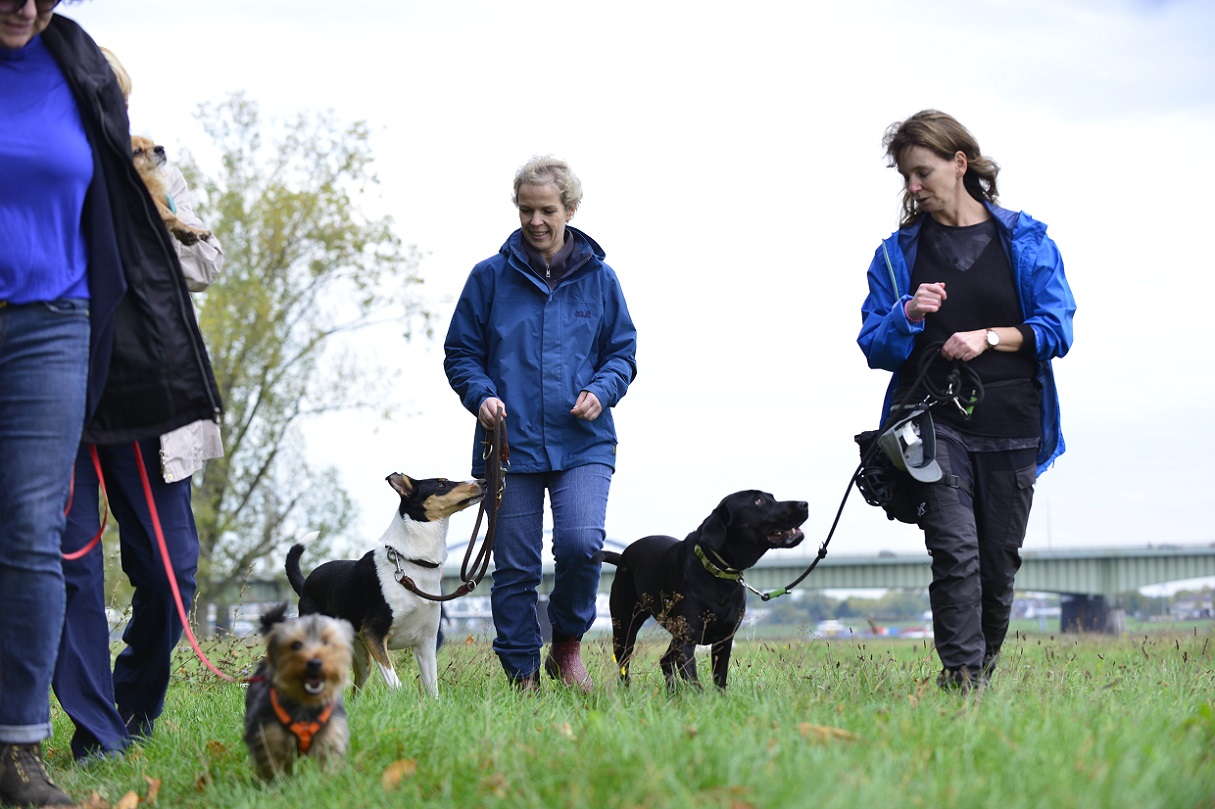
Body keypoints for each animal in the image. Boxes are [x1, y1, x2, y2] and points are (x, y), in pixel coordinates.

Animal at [285, 473, 483, 694]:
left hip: (362, 657)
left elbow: (433, 688)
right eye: (441, 483)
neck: (413, 562)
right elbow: (395, 683)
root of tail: (306, 584)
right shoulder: (374, 634)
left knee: (356, 689)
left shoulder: (426, 642)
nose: (483, 482)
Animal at [595, 488, 806, 689]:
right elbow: (695, 683)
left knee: (664, 661)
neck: (717, 573)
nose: (804, 504)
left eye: (772, 497)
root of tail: (622, 556)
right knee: (624, 666)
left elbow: (719, 680)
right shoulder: (686, 641)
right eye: (759, 501)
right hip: (625, 627)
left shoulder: (723, 640)